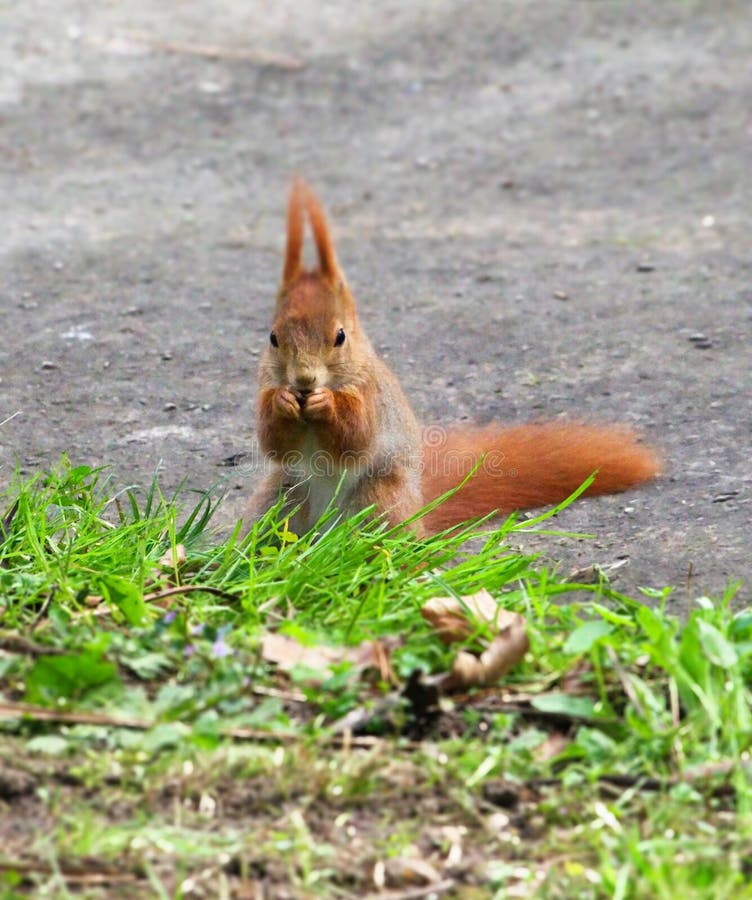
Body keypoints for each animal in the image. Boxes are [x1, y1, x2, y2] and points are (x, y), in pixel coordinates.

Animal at [247, 179, 656, 536]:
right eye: (273, 337)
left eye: (340, 337)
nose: (304, 381)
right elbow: (273, 440)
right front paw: (283, 402)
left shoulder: (372, 396)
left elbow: (355, 437)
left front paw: (325, 404)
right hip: (278, 500)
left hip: (380, 500)